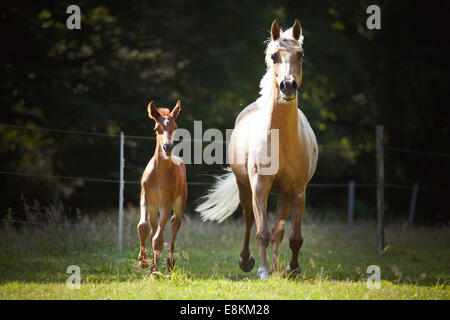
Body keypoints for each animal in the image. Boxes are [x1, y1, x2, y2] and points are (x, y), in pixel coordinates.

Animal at [136, 100, 187, 276]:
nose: (168, 147)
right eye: (157, 128)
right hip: (153, 208)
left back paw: (170, 264)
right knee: (153, 230)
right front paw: (143, 262)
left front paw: (154, 273)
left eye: (175, 126)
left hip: (179, 204)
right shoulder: (145, 198)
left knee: (174, 224)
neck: (159, 174)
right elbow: (143, 227)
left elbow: (158, 239)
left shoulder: (167, 203)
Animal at [196, 20, 316, 280]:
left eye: (300, 55)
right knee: (249, 220)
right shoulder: (259, 187)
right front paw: (261, 270)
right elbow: (262, 231)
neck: (283, 140)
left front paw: (292, 269)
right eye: (274, 56)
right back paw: (247, 261)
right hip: (245, 187)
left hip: (283, 195)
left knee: (279, 232)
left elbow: (294, 237)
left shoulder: (298, 191)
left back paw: (275, 268)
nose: (288, 86)